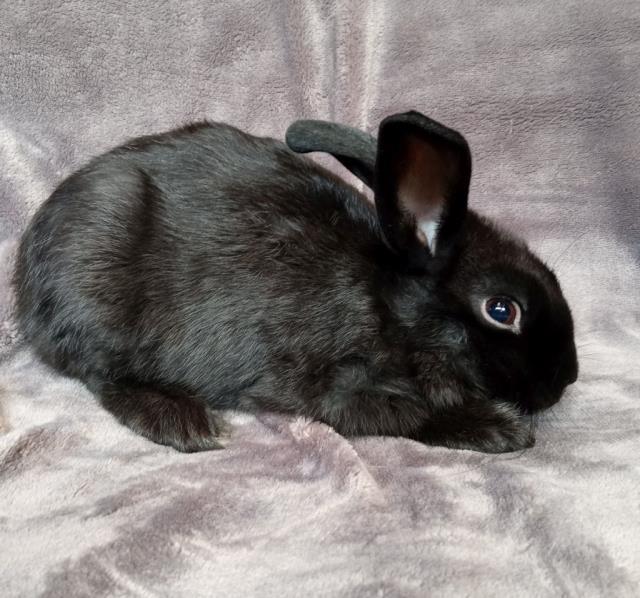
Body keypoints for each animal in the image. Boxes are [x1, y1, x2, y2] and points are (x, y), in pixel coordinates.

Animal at [13, 111, 578, 454]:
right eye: (502, 310)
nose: (568, 378)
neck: (388, 307)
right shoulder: (341, 386)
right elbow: (412, 415)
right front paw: (499, 429)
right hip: (96, 296)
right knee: (101, 373)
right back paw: (182, 422)